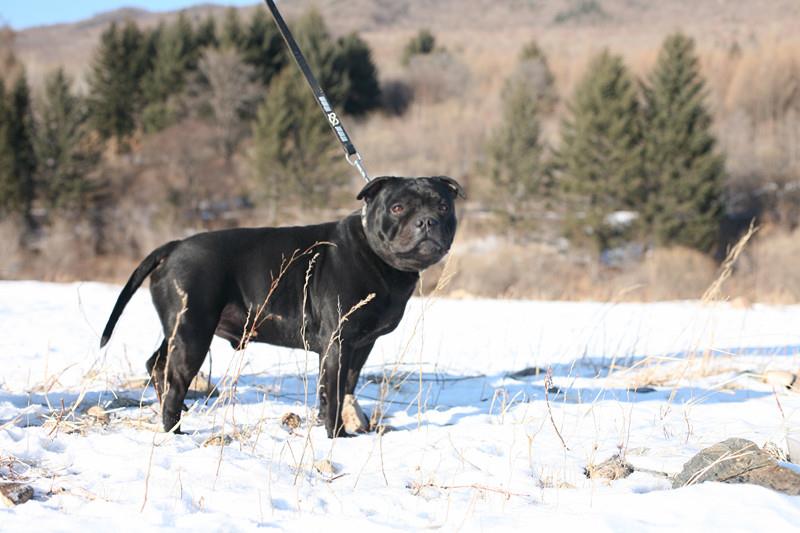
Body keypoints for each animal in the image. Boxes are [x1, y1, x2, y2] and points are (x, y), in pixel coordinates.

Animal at [99, 175, 462, 436]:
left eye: (443, 207)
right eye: (398, 208)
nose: (427, 221)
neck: (375, 255)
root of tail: (173, 247)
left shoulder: (360, 346)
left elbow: (344, 386)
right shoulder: (337, 343)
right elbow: (332, 391)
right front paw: (336, 434)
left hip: (180, 329)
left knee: (157, 364)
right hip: (193, 334)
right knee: (174, 380)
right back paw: (174, 430)